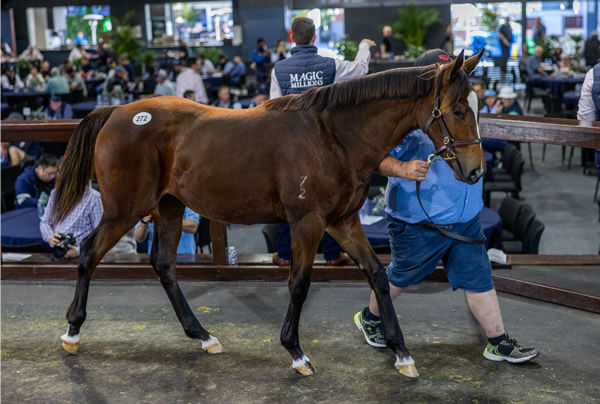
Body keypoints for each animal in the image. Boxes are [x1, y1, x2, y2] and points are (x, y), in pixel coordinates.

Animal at [51, 49, 482, 376]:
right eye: (459, 110)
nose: (475, 170)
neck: (333, 137)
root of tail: (118, 112)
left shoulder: (342, 222)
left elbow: (378, 275)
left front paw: (401, 353)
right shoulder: (307, 224)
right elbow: (299, 283)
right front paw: (296, 352)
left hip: (169, 207)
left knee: (163, 265)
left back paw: (203, 335)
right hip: (125, 209)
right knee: (88, 252)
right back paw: (72, 332)